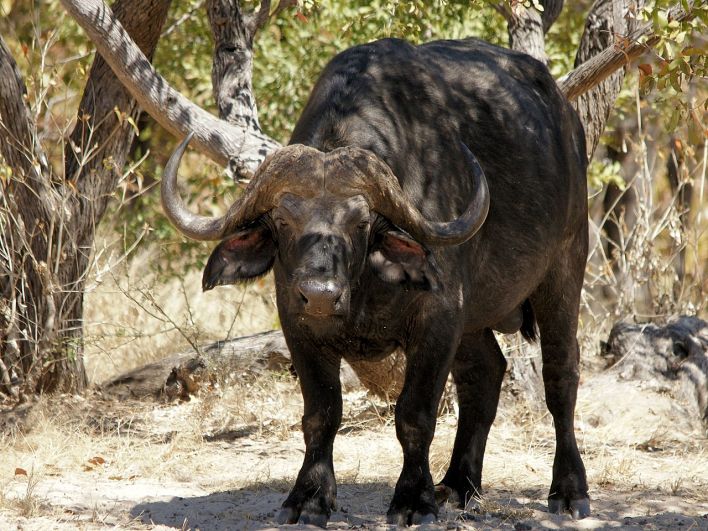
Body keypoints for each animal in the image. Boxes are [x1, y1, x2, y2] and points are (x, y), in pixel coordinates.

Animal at [163, 37, 588, 528]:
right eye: (283, 221)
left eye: (361, 222)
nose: (320, 296)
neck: (366, 285)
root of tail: (565, 119)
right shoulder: (298, 325)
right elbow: (321, 413)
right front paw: (309, 497)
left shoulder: (438, 316)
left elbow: (414, 414)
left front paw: (413, 500)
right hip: (474, 320)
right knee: (484, 374)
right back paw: (459, 485)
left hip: (564, 271)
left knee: (561, 377)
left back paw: (569, 490)